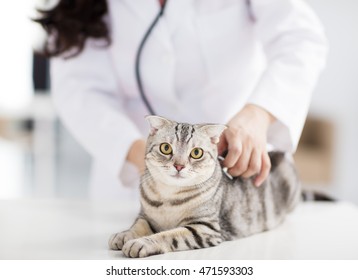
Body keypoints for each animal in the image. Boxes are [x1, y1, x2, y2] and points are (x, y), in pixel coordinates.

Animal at [108, 115, 300, 258]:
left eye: (196, 153)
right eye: (166, 148)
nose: (179, 165)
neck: (169, 197)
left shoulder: (204, 228)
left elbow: (168, 235)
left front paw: (141, 242)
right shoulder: (146, 216)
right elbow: (137, 226)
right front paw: (123, 234)